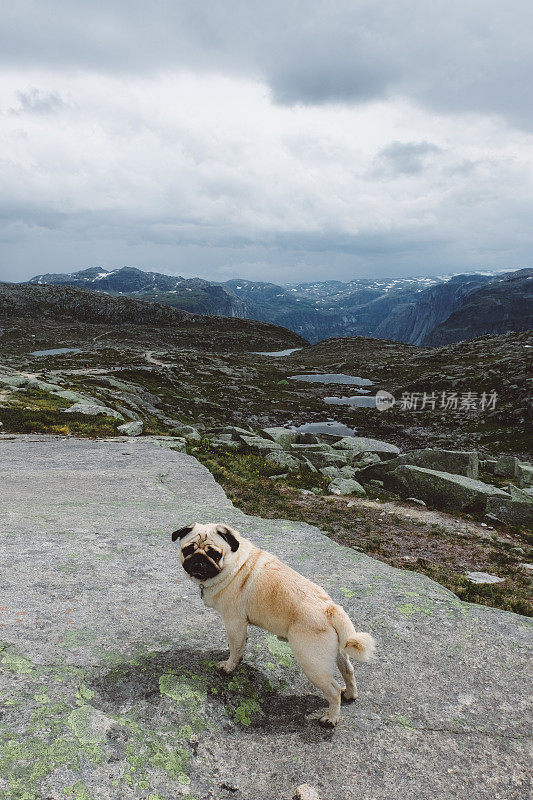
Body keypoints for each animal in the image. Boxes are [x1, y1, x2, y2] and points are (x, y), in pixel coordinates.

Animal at [171, 520, 374, 728]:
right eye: (188, 549)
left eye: (214, 553)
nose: (198, 560)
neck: (234, 564)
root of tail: (330, 608)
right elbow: (241, 645)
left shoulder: (234, 622)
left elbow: (235, 648)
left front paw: (229, 667)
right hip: (339, 652)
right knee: (348, 670)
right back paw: (350, 694)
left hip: (311, 662)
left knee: (333, 690)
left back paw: (331, 718)